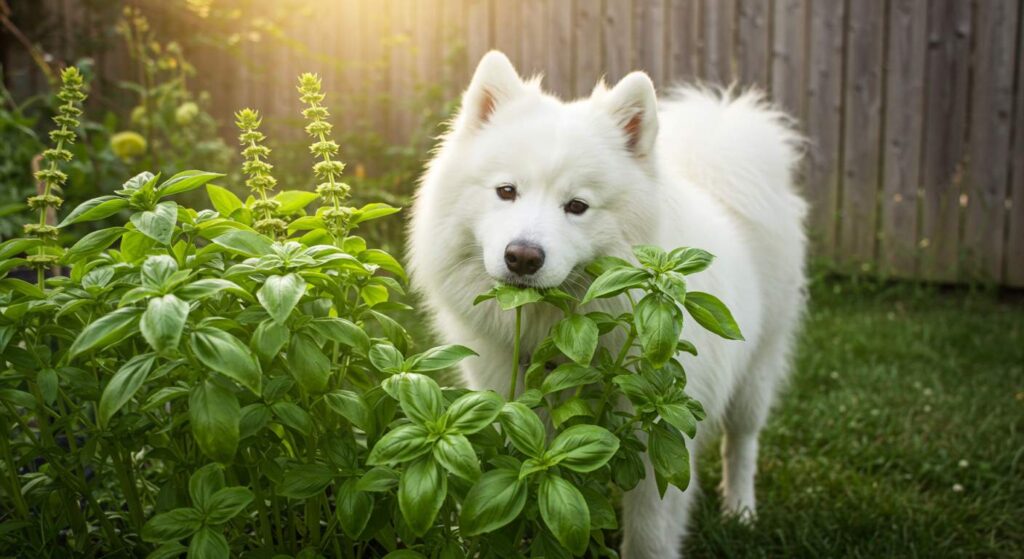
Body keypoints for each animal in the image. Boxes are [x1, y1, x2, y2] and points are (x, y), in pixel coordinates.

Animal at [407, 50, 806, 552]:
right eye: (506, 191)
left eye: (577, 206)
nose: (522, 257)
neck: (557, 340)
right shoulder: (504, 408)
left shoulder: (660, 432)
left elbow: (649, 533)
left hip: (757, 368)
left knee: (743, 442)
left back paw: (741, 510)